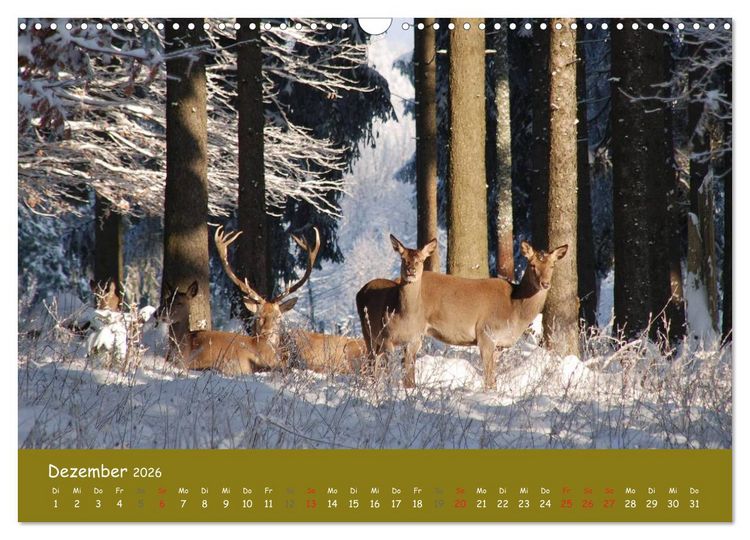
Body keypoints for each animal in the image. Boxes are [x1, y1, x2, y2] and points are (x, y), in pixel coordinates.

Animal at [357, 237, 568, 389]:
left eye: (552, 266)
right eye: (532, 265)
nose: (545, 283)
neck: (514, 310)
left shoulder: (499, 345)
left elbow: (494, 378)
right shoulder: (486, 334)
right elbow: (489, 379)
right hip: (374, 336)